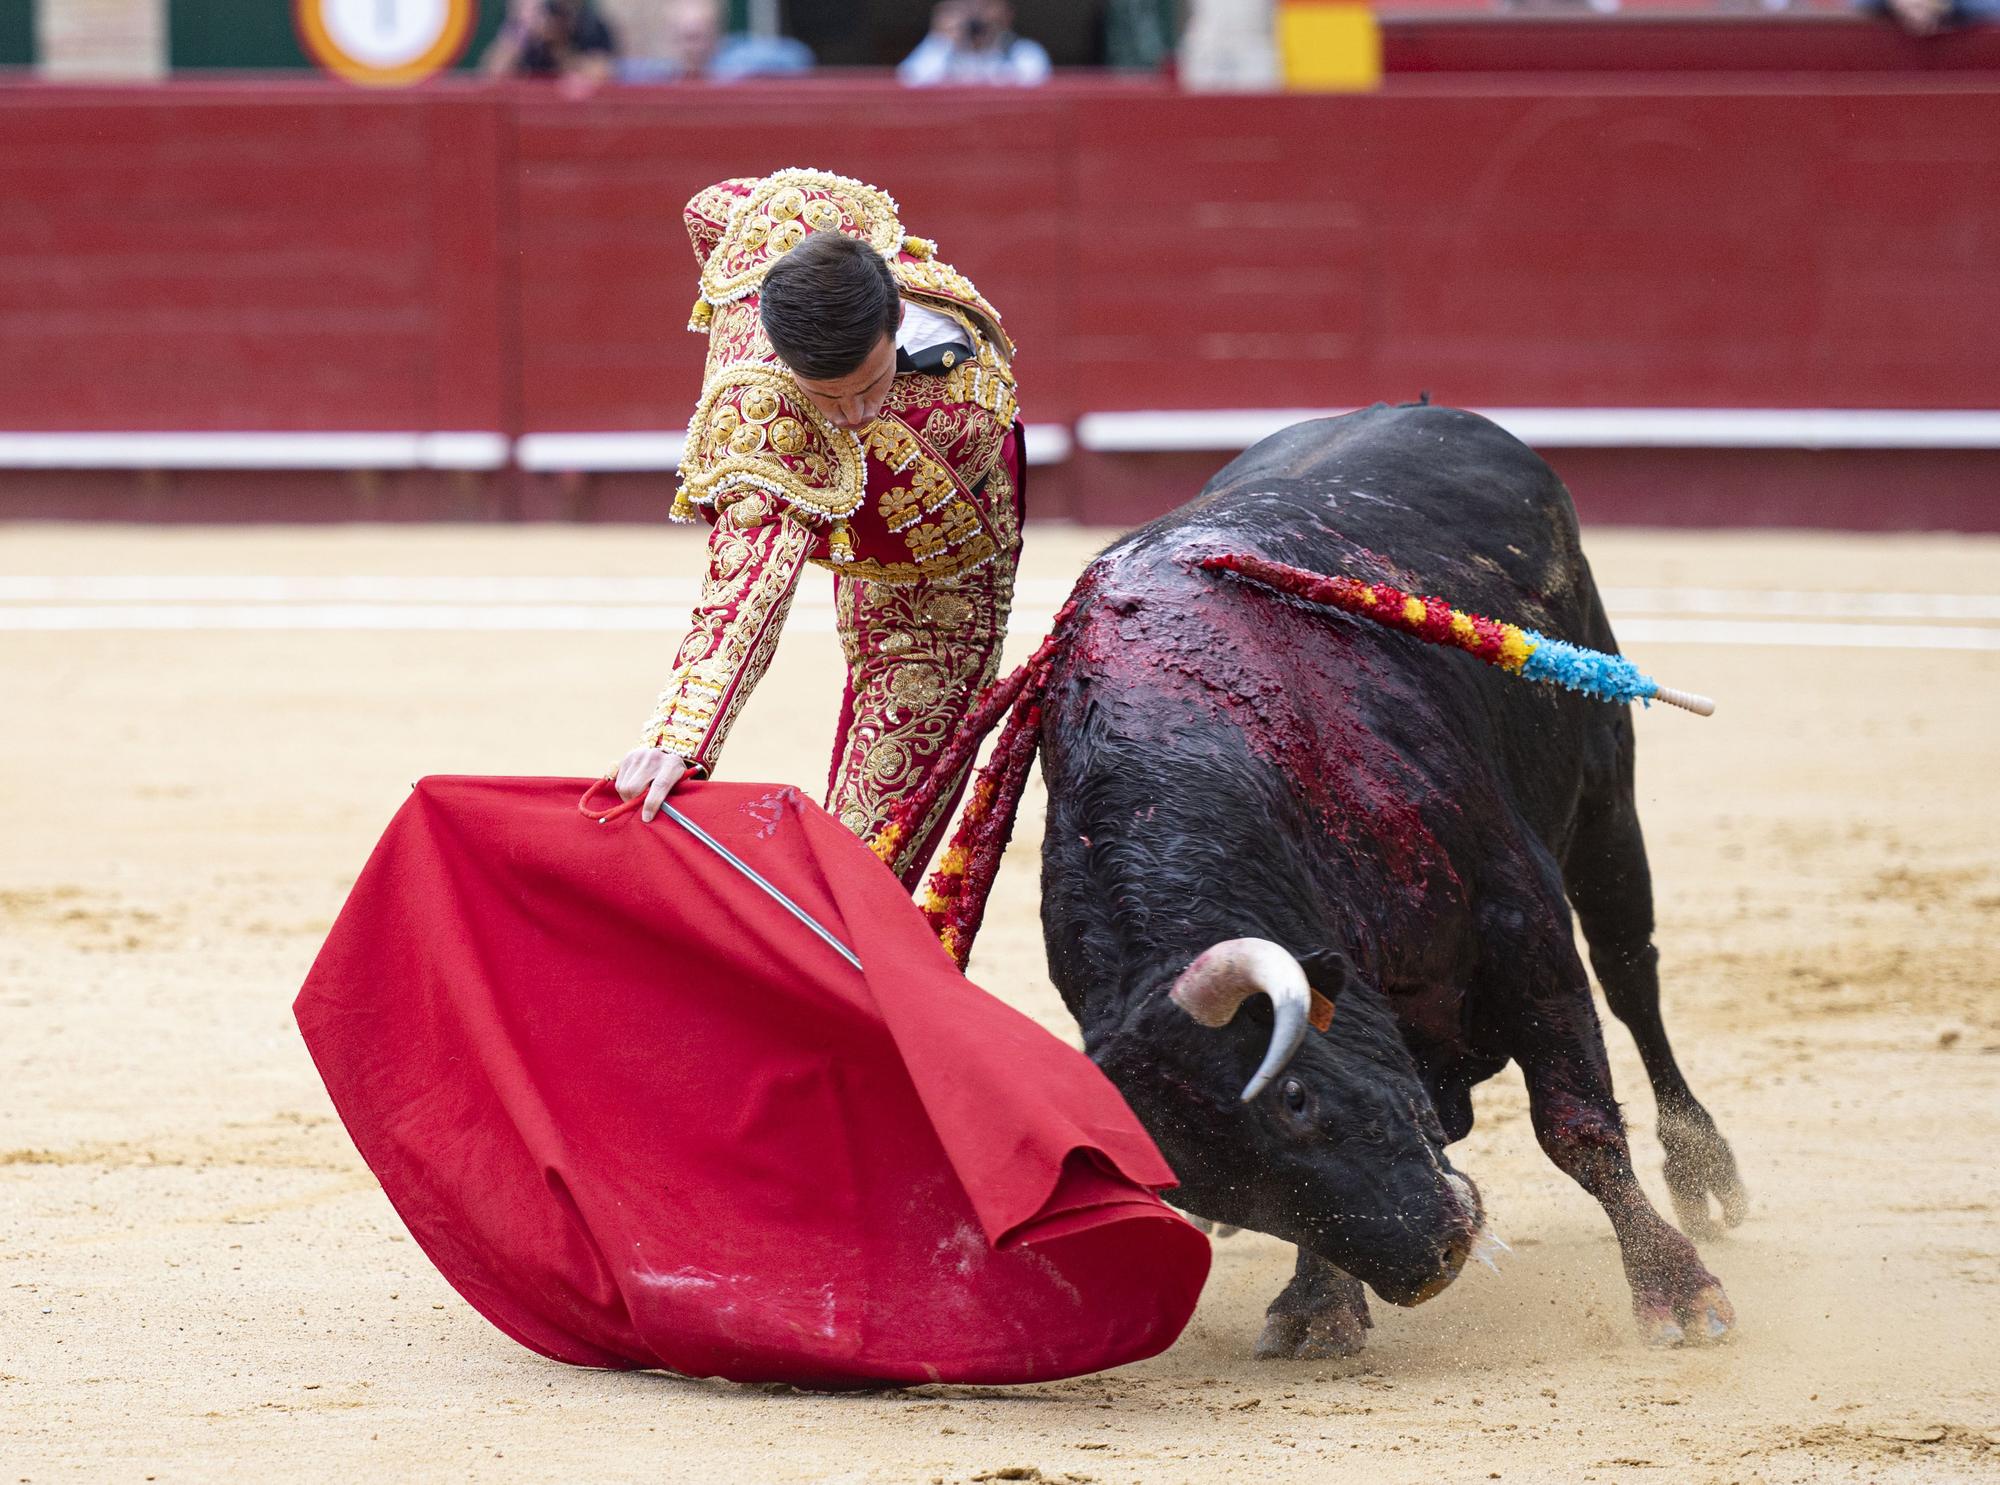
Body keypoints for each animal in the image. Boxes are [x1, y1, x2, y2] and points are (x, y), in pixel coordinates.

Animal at [1032, 404, 1752, 1360]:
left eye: (1295, 1096)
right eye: (1197, 1185)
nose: (1432, 1261)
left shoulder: (1522, 918)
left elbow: (1578, 1123)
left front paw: (1677, 1291)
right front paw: (1318, 1306)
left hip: (1607, 805)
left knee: (1634, 977)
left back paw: (1703, 1170)